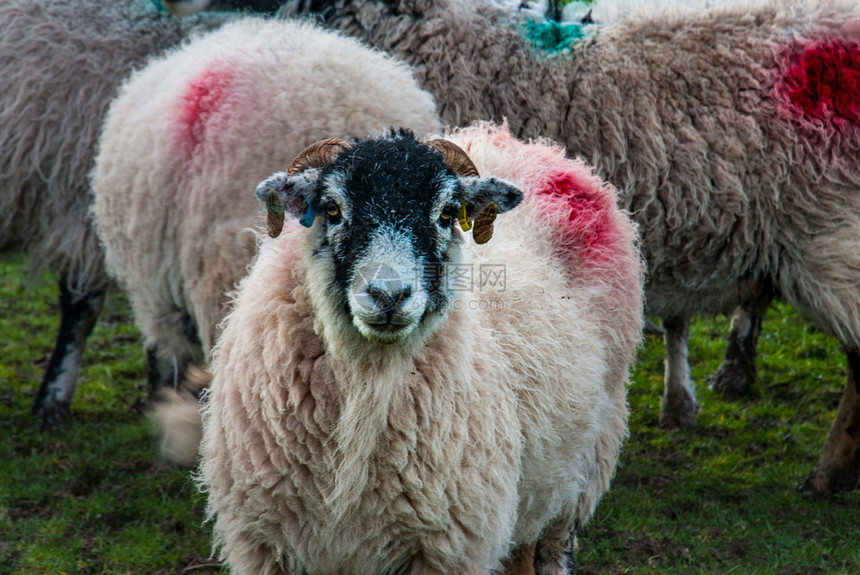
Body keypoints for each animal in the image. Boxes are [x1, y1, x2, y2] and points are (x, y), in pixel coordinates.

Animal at [200, 122, 644, 575]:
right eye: (332, 209)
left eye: (447, 214)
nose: (388, 296)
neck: (366, 383)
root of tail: (523, 143)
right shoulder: (265, 546)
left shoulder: (448, 548)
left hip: (583, 467)